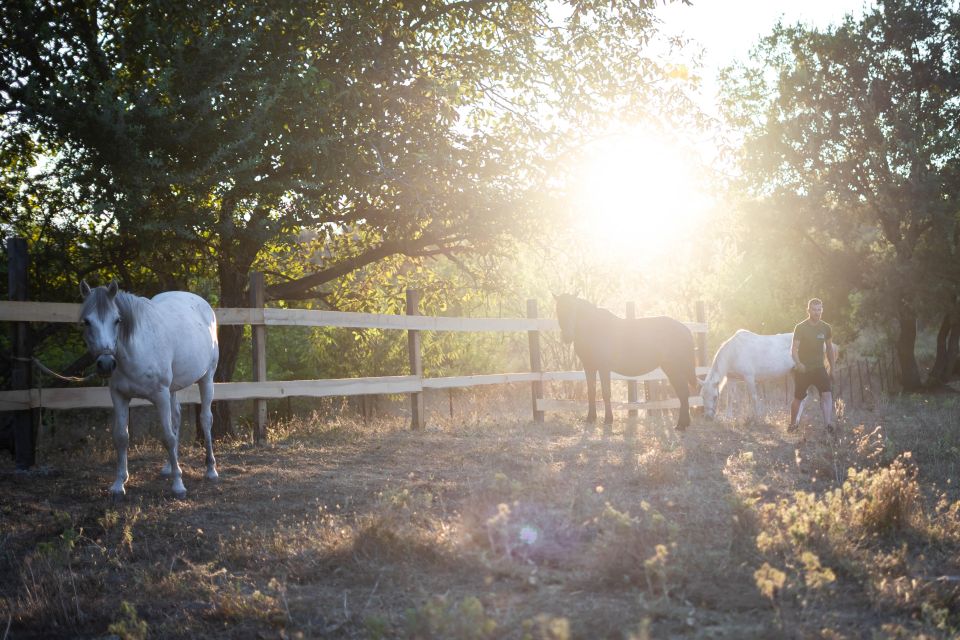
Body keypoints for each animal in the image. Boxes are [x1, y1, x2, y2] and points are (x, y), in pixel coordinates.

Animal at [80, 282, 219, 498]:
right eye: (87, 322)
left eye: (117, 320)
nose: (106, 364)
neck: (135, 350)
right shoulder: (119, 397)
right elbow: (121, 437)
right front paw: (119, 484)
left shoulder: (160, 396)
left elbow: (168, 438)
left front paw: (178, 486)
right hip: (173, 389)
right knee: (176, 418)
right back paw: (169, 467)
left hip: (207, 379)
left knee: (205, 419)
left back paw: (211, 470)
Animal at [556, 296, 696, 430]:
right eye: (558, 310)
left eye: (574, 310)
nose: (567, 336)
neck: (594, 328)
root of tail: (685, 329)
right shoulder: (589, 367)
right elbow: (591, 392)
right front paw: (591, 418)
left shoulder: (603, 367)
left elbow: (606, 393)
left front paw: (608, 419)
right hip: (670, 368)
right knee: (683, 393)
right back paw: (684, 424)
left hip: (675, 368)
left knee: (683, 392)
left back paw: (681, 425)